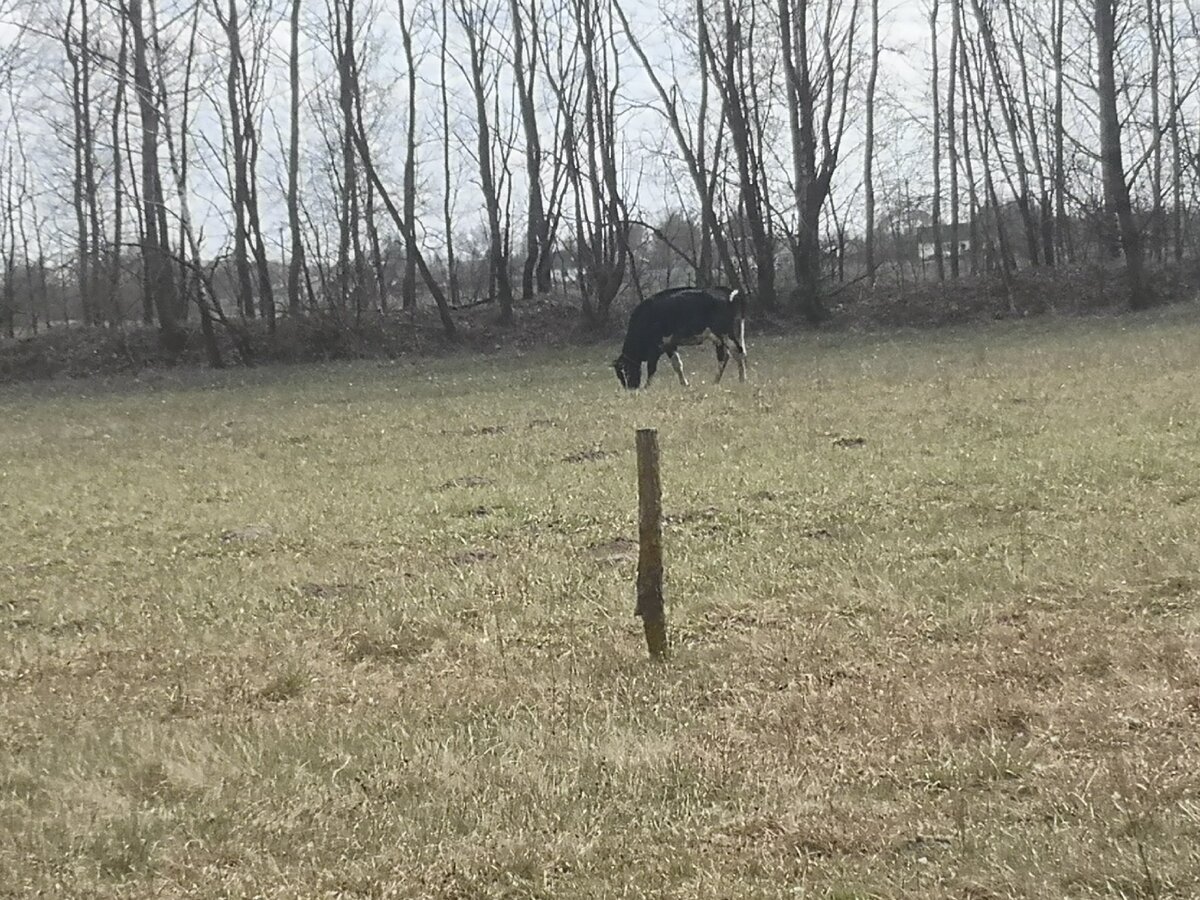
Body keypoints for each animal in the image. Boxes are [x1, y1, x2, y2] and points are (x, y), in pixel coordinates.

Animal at [614, 286, 744, 388]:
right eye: (619, 376)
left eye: (626, 372)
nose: (630, 389)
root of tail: (728, 293)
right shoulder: (670, 345)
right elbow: (677, 365)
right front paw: (685, 384)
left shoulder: (656, 348)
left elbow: (652, 368)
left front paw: (646, 387)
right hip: (720, 338)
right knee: (724, 356)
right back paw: (715, 381)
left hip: (725, 333)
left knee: (738, 352)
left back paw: (742, 380)